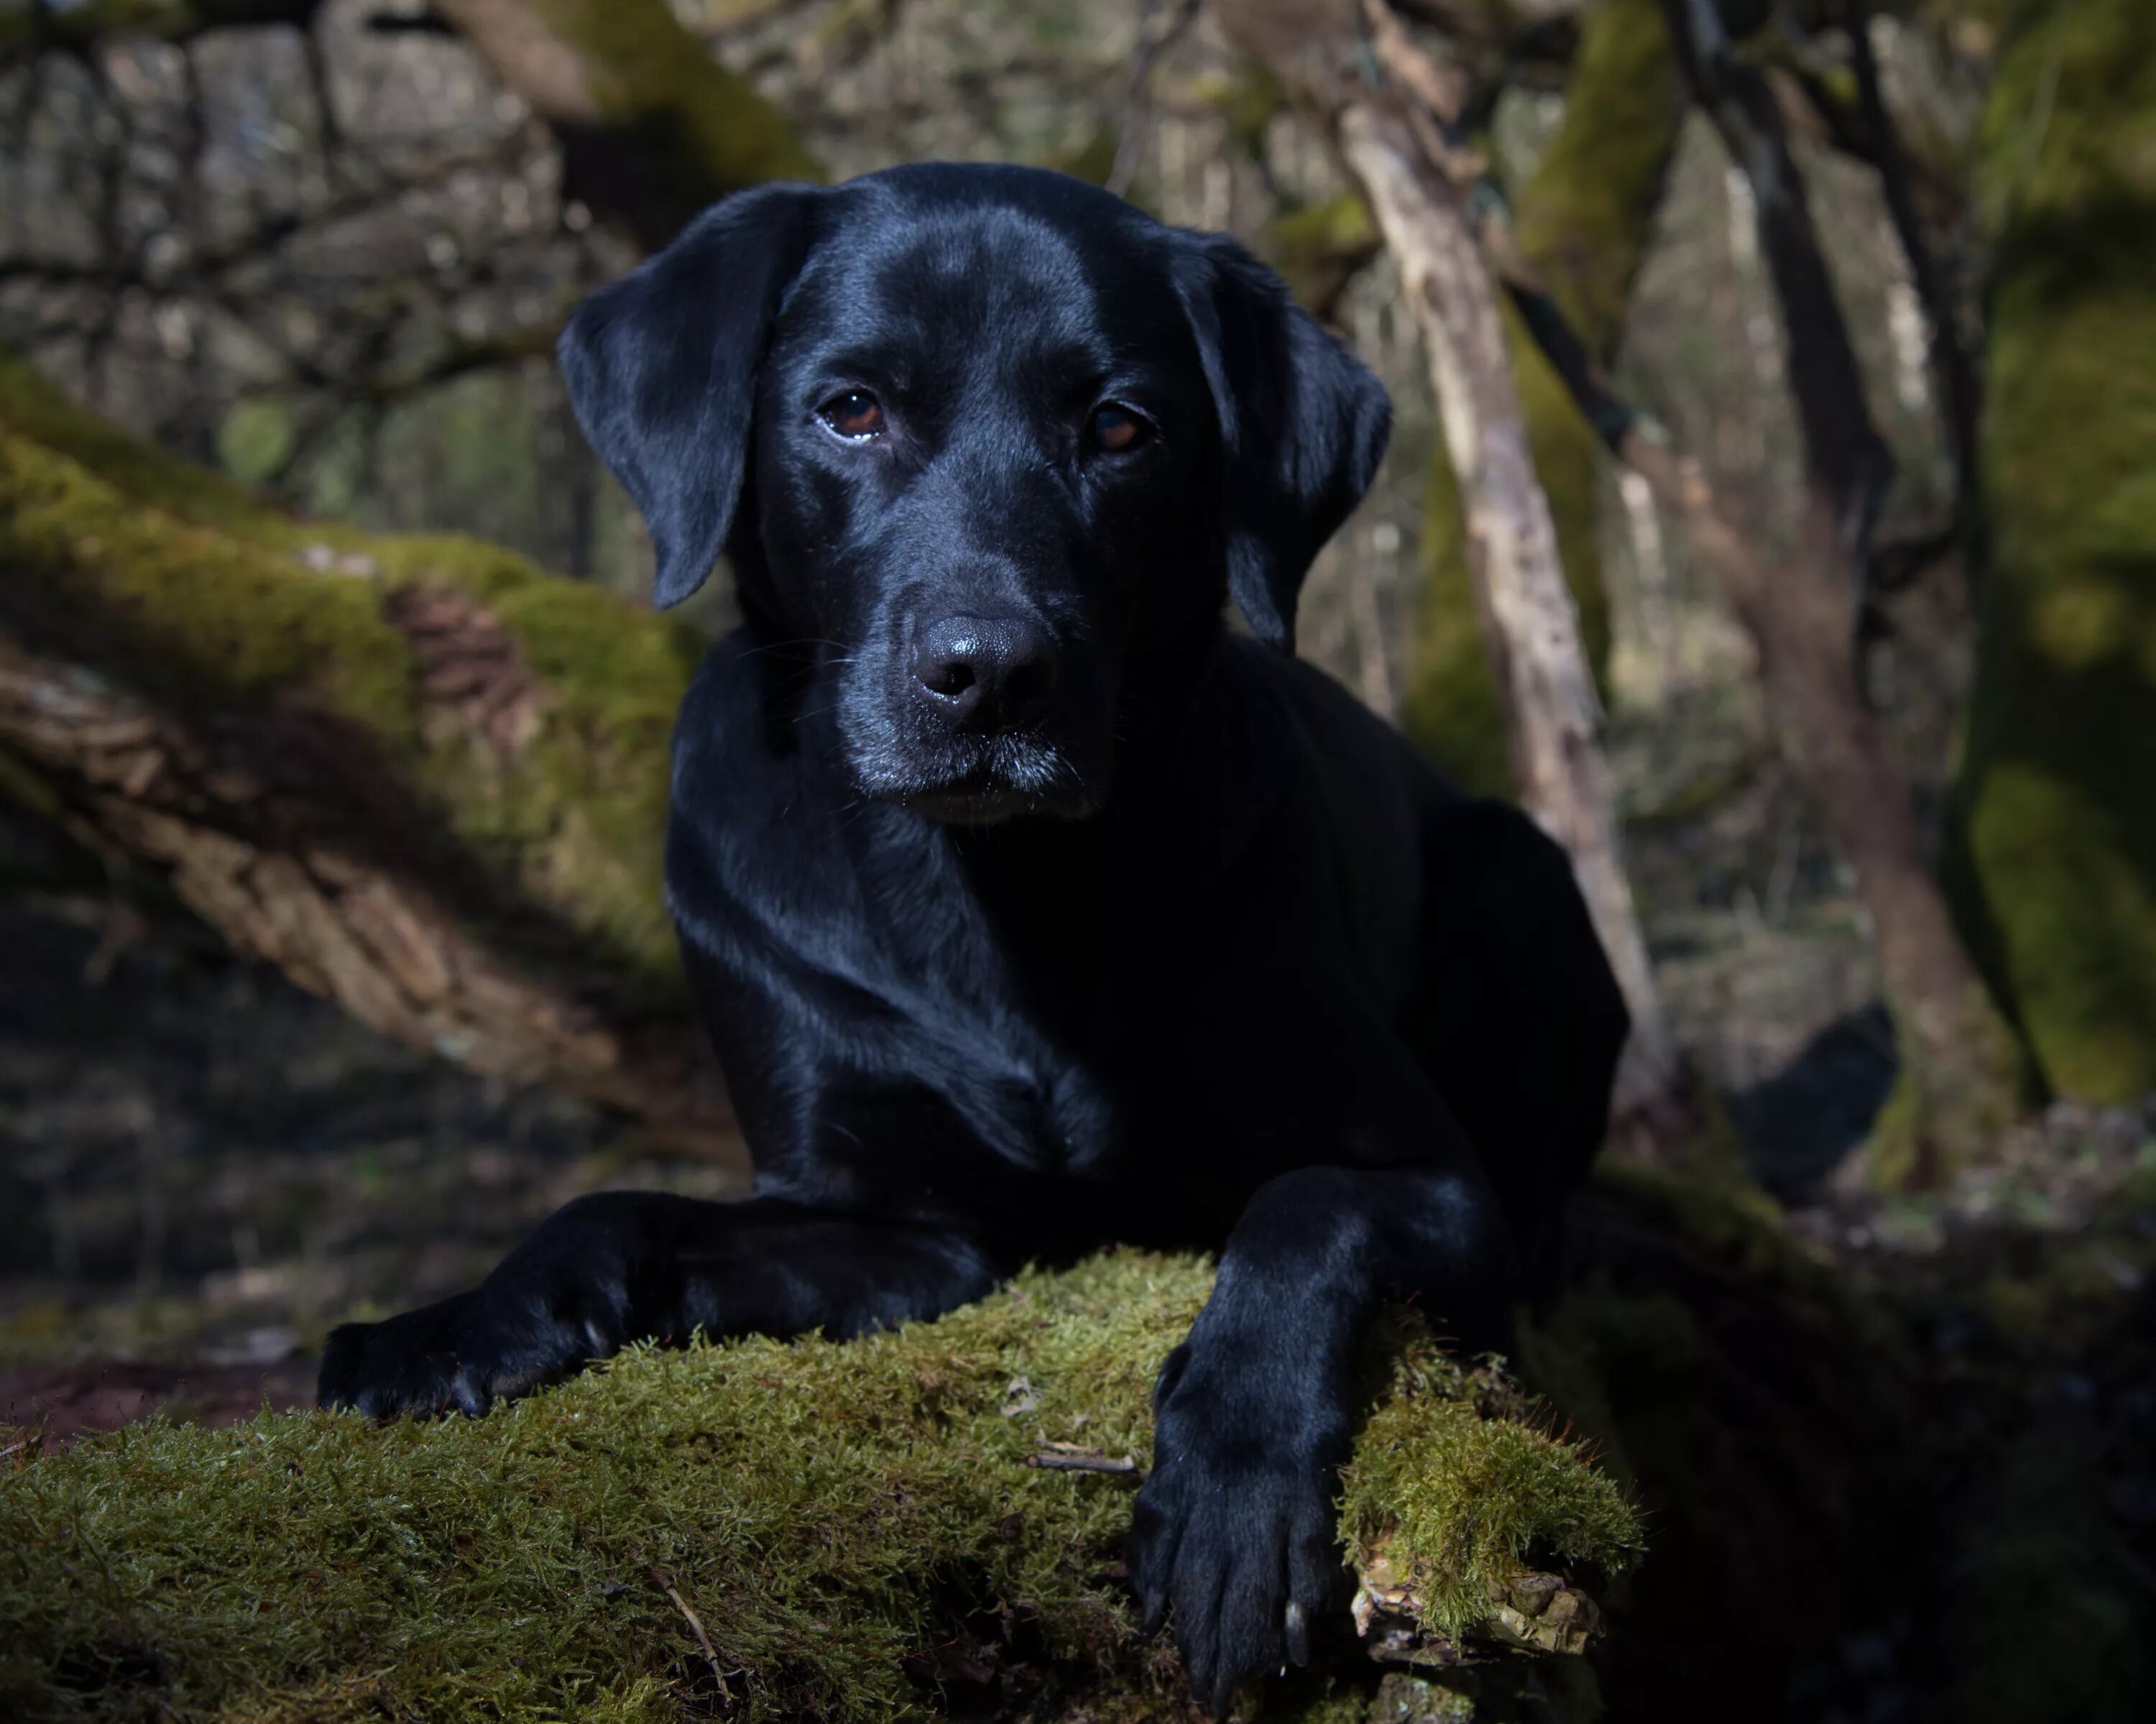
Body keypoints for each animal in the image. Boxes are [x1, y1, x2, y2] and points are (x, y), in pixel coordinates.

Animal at [319, 161, 1621, 1707]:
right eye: (851, 407)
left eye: (1120, 426)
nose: (990, 674)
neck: (989, 889)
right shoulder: (908, 1228)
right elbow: (623, 1208)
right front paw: (462, 1320)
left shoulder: (1430, 1174)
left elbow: (1306, 1208)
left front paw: (1234, 1490)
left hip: (1530, 876)